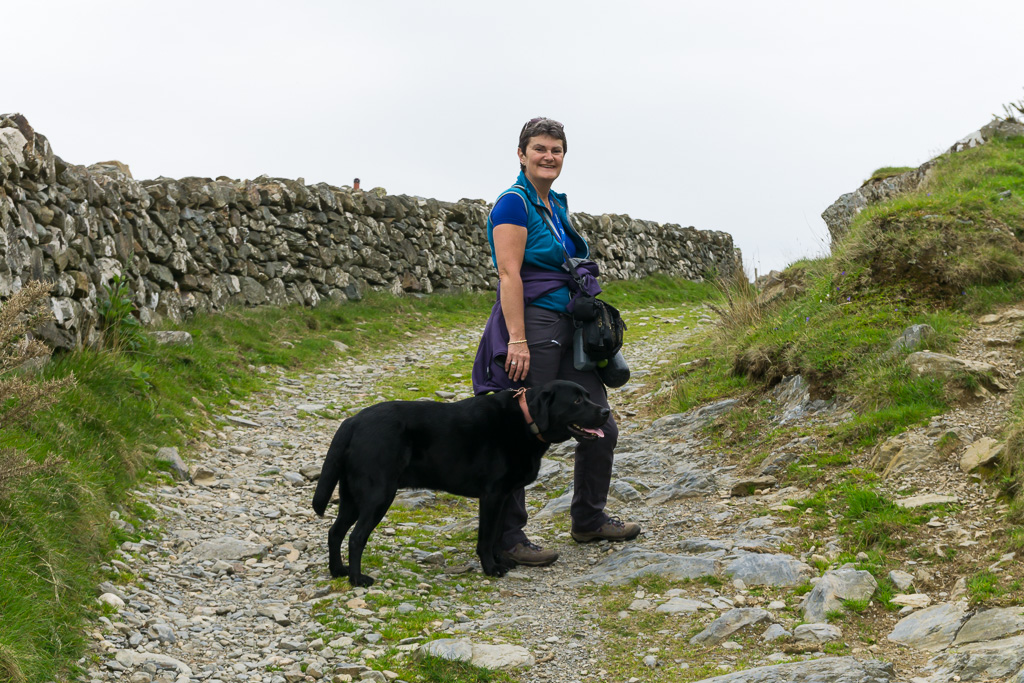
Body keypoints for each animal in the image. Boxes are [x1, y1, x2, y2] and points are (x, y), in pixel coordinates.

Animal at [311, 378, 606, 589]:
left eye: (588, 396)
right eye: (577, 400)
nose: (606, 410)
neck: (525, 420)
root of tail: (352, 422)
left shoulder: (503, 496)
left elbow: (497, 534)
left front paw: (500, 561)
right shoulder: (491, 495)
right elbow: (486, 537)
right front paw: (491, 568)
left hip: (352, 497)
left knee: (335, 532)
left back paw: (338, 571)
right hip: (378, 495)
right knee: (356, 537)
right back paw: (357, 579)